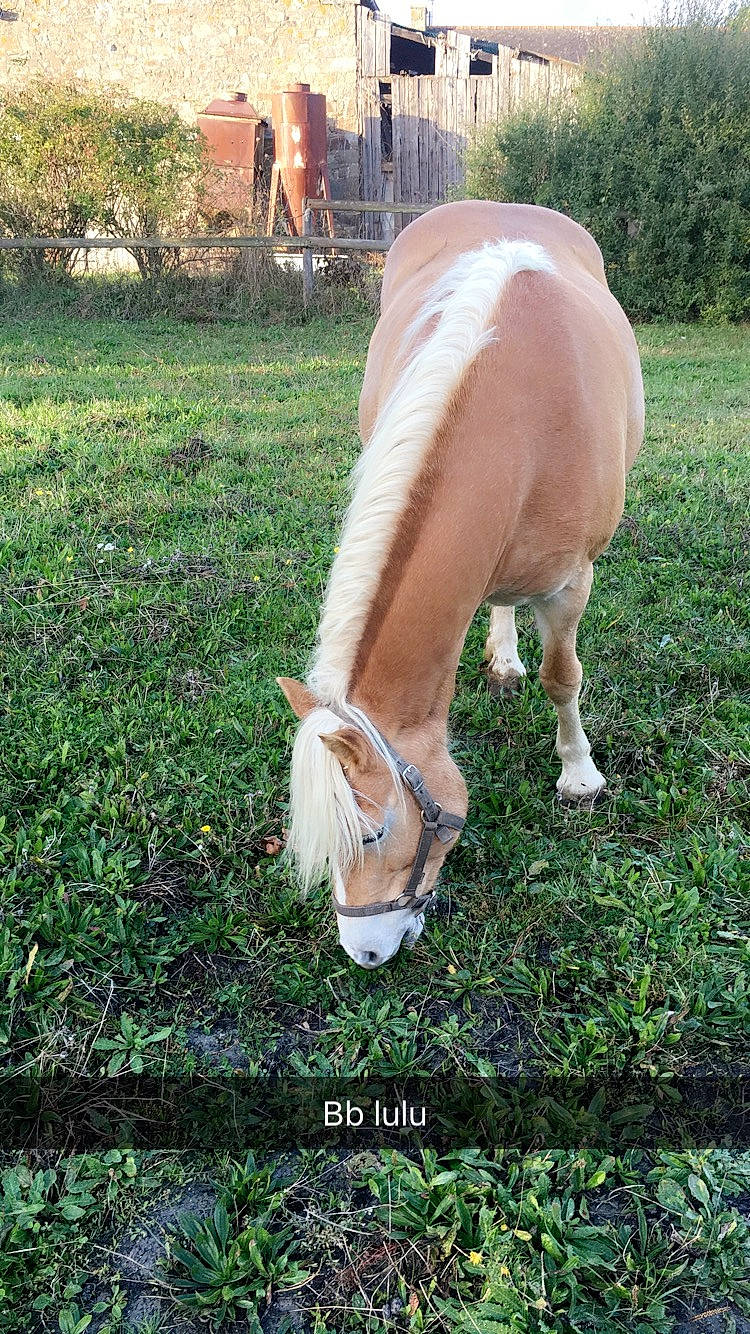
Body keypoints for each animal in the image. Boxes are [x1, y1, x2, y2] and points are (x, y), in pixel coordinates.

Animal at [278, 200, 644, 970]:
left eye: (373, 833)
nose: (364, 953)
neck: (518, 409)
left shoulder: (571, 584)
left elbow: (563, 678)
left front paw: (579, 776)